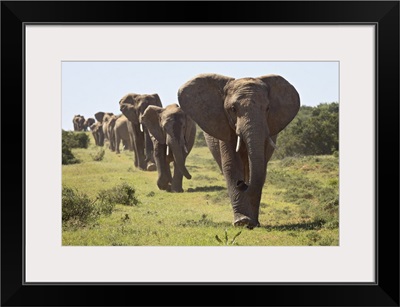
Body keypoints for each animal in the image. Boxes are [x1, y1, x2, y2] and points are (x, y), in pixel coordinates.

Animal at [178, 74, 300, 229]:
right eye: (233, 109)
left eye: (267, 108)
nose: (241, 184)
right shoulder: (224, 125)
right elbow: (231, 164)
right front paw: (242, 222)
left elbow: (261, 166)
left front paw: (250, 222)